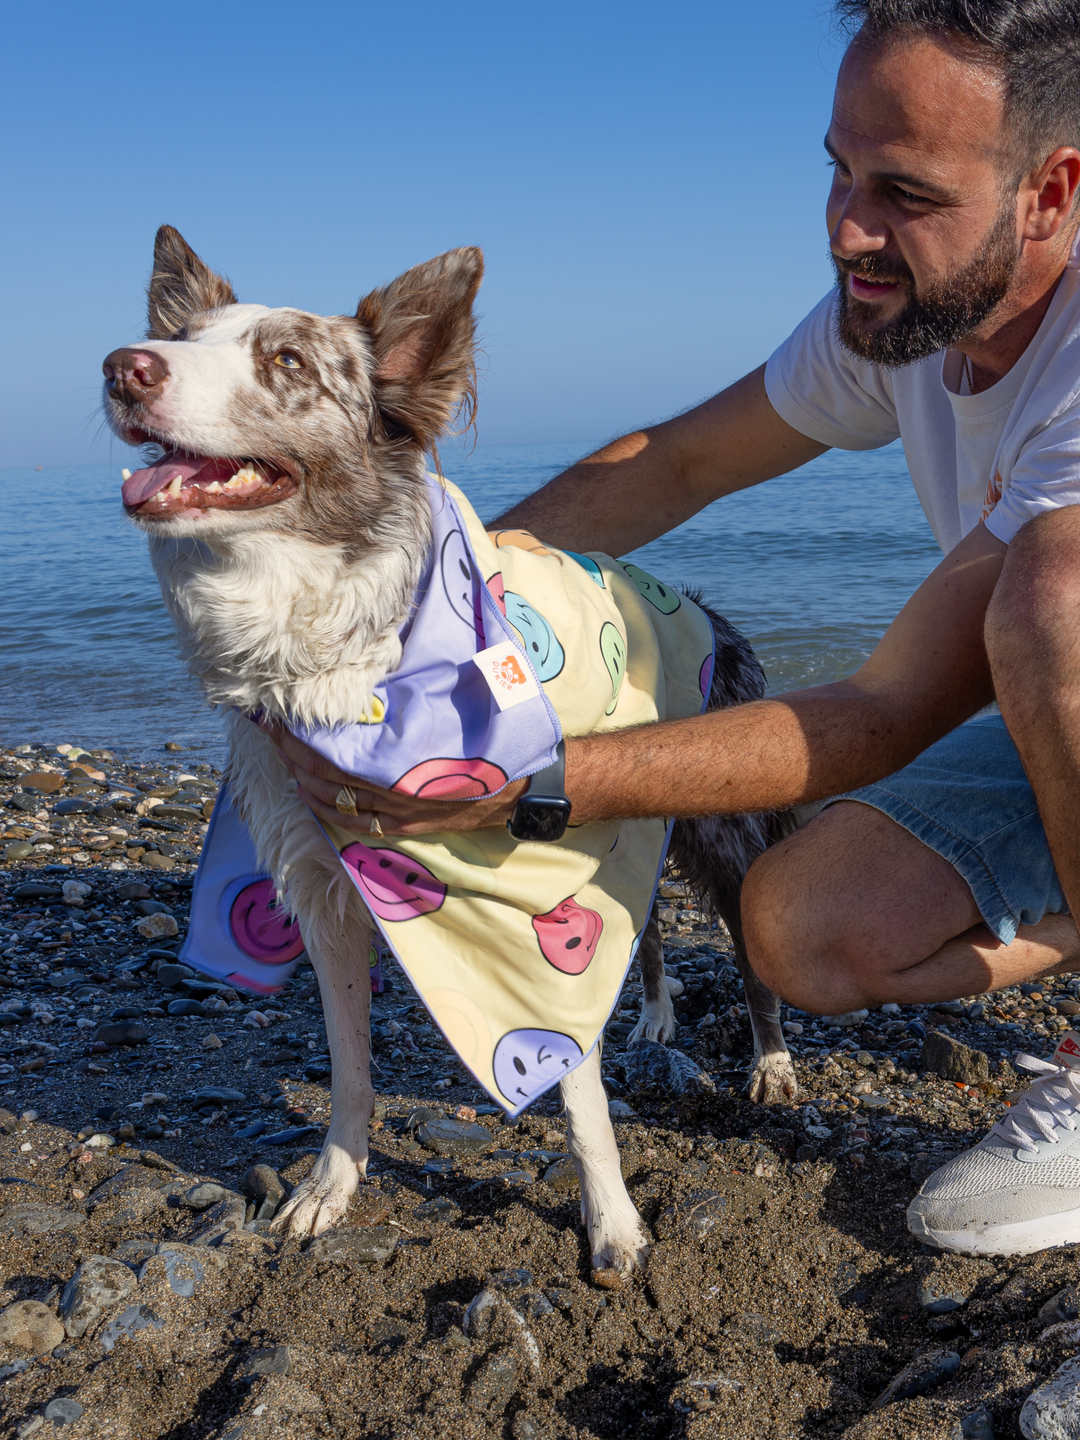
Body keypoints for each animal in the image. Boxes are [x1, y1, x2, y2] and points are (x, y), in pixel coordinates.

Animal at [105, 227, 800, 1284]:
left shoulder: (533, 903)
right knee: (646, 930)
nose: (122, 367)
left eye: (287, 361)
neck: (341, 656)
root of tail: (708, 612)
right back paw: (653, 1016)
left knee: (746, 938)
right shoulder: (326, 890)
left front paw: (613, 1224)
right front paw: (330, 1186)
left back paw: (769, 1059)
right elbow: (349, 1066)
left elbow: (577, 1090)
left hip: (711, 824)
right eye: (180, 338)